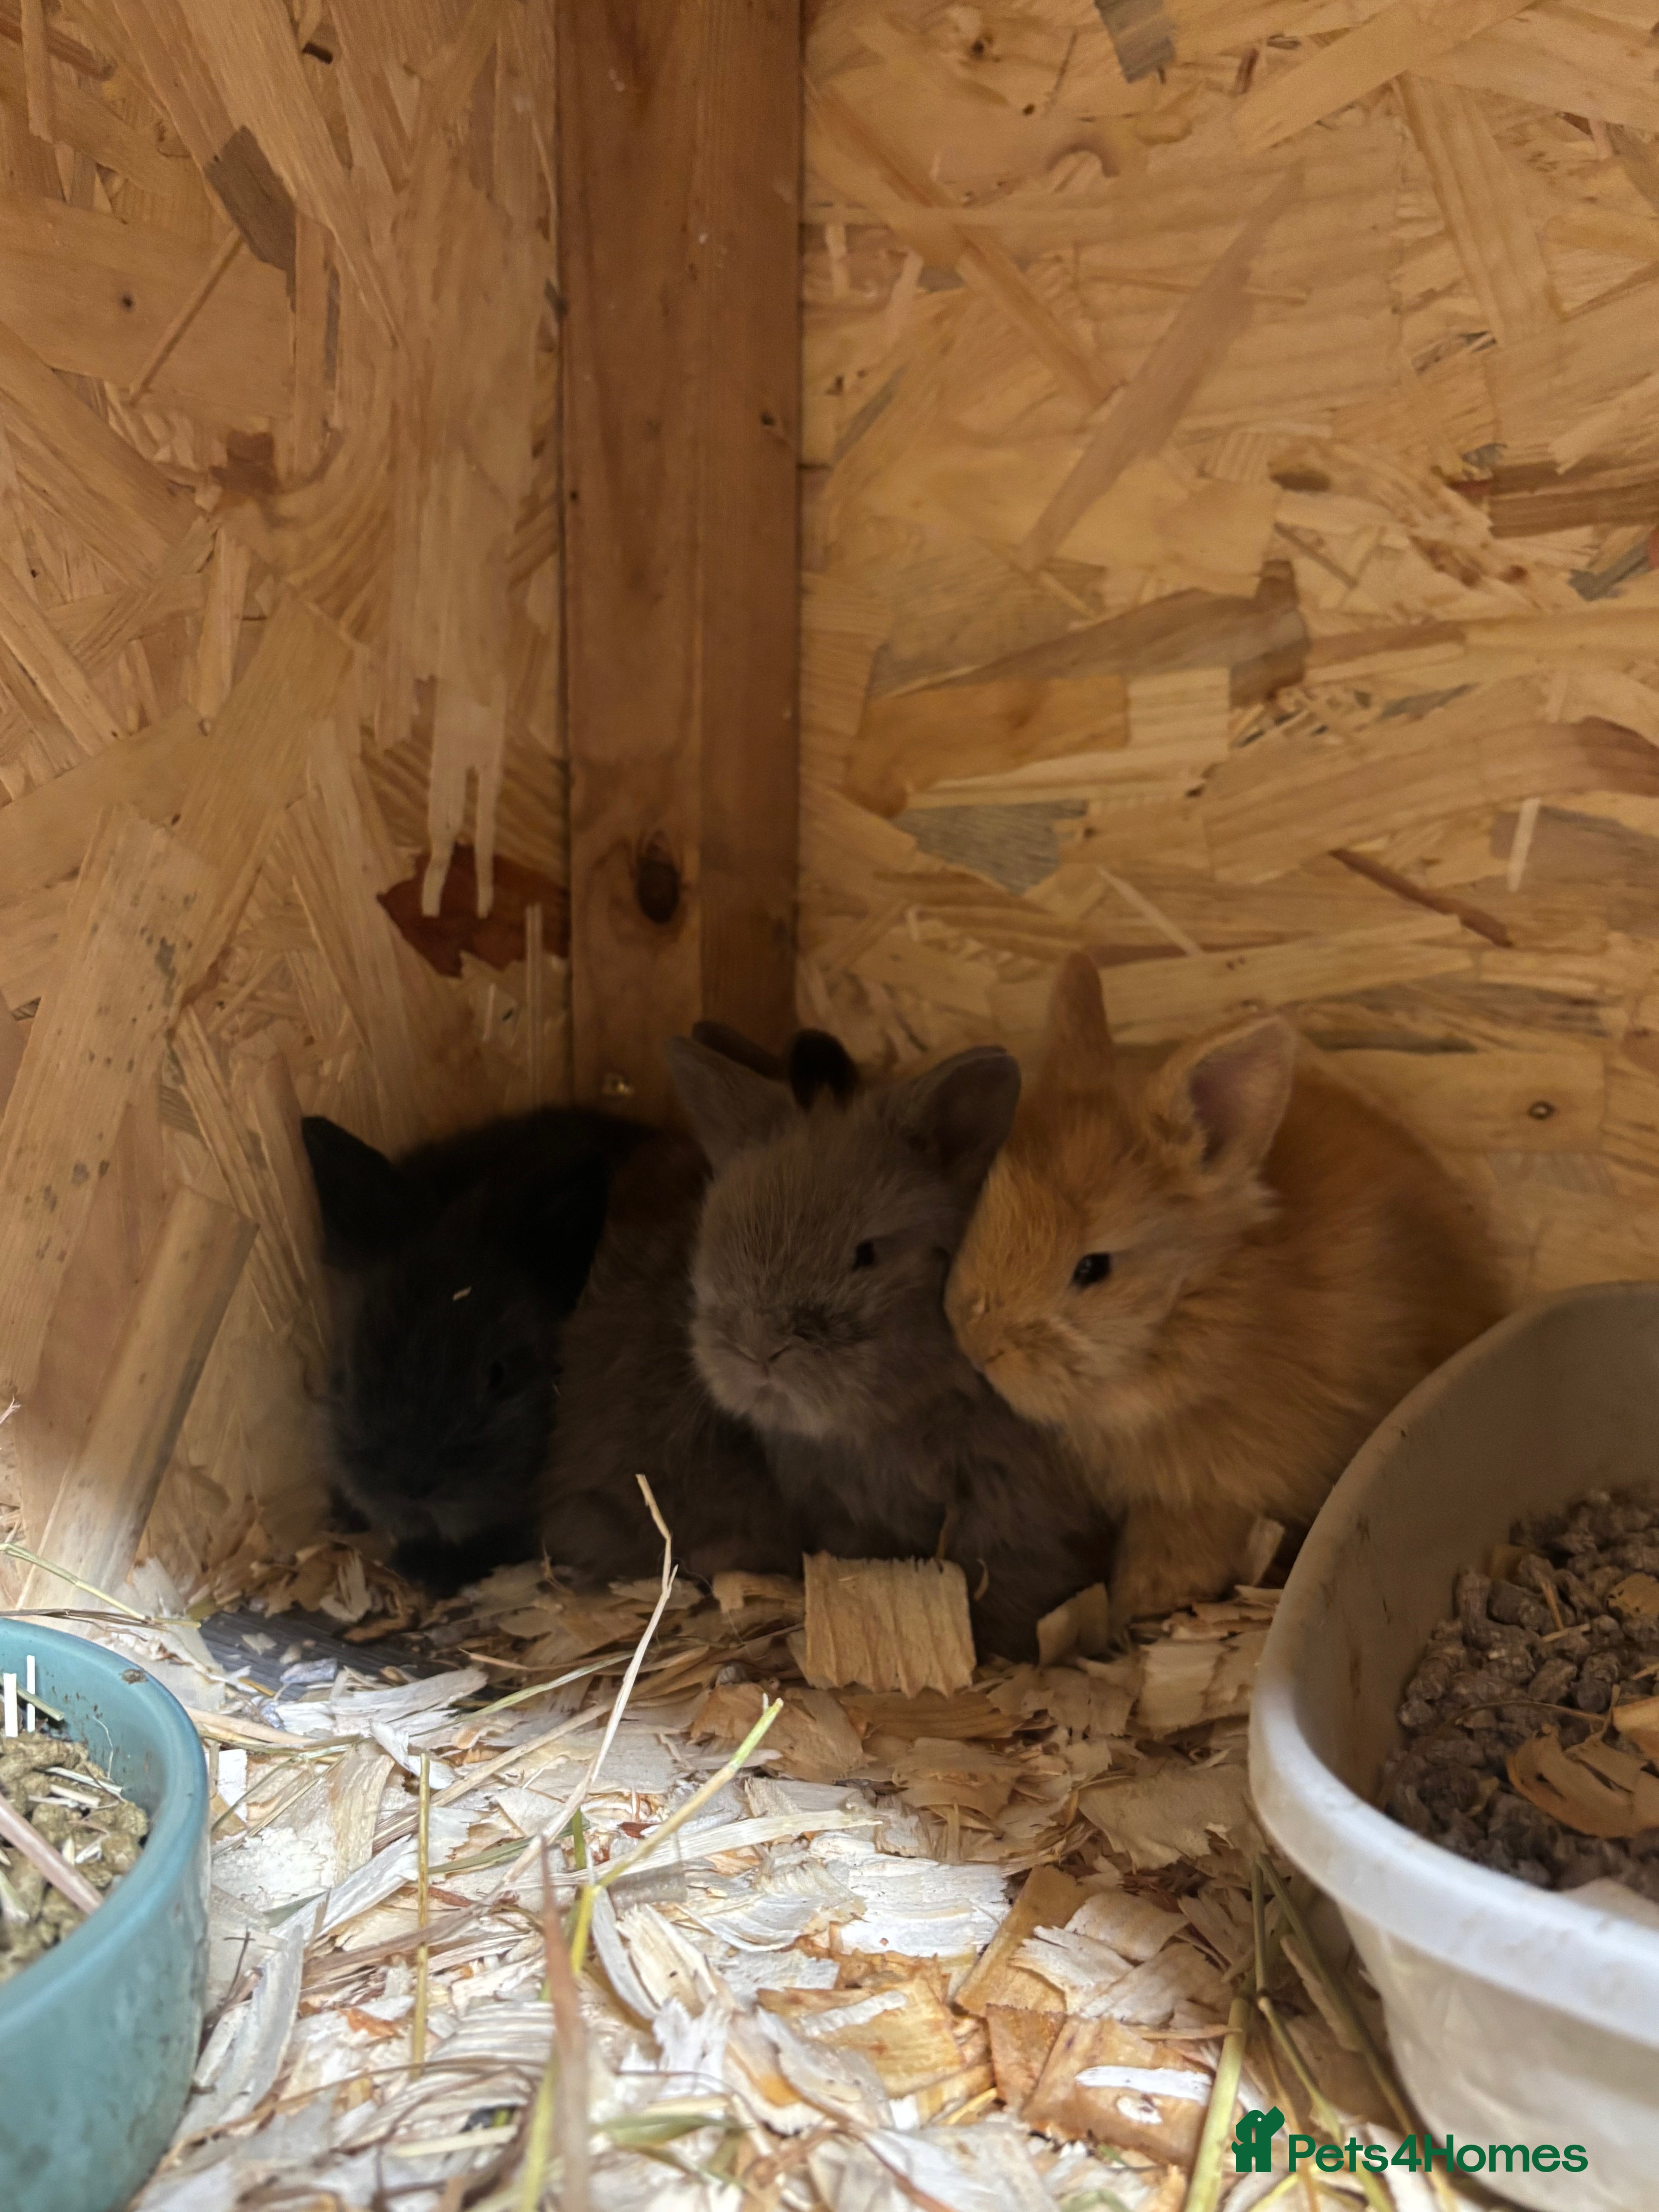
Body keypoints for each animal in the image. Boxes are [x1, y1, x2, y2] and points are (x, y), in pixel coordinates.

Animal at [946, 951, 1506, 1630]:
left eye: (1093, 1268)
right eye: (984, 1204)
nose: (978, 1345)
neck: (1199, 1309)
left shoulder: (1221, 1489)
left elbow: (1181, 1549)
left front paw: (1141, 1602)